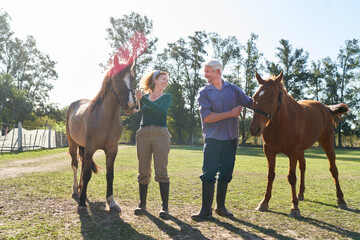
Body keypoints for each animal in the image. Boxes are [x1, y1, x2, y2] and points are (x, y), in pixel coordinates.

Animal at [65, 54, 136, 212]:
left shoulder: (112, 150)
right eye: (117, 78)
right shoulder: (90, 148)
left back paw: (80, 188)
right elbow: (86, 174)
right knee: (75, 165)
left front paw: (111, 201)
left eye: (133, 78)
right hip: (73, 145)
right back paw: (76, 190)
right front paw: (82, 202)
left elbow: (110, 175)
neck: (105, 119)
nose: (131, 105)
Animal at [250, 71, 348, 218]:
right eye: (254, 97)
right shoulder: (269, 151)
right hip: (301, 150)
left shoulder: (292, 152)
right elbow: (270, 175)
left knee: (333, 170)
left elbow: (291, 177)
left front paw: (294, 208)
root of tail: (326, 108)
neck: (280, 123)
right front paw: (264, 202)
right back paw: (300, 193)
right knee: (303, 167)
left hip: (327, 143)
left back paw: (341, 200)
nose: (254, 129)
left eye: (271, 99)